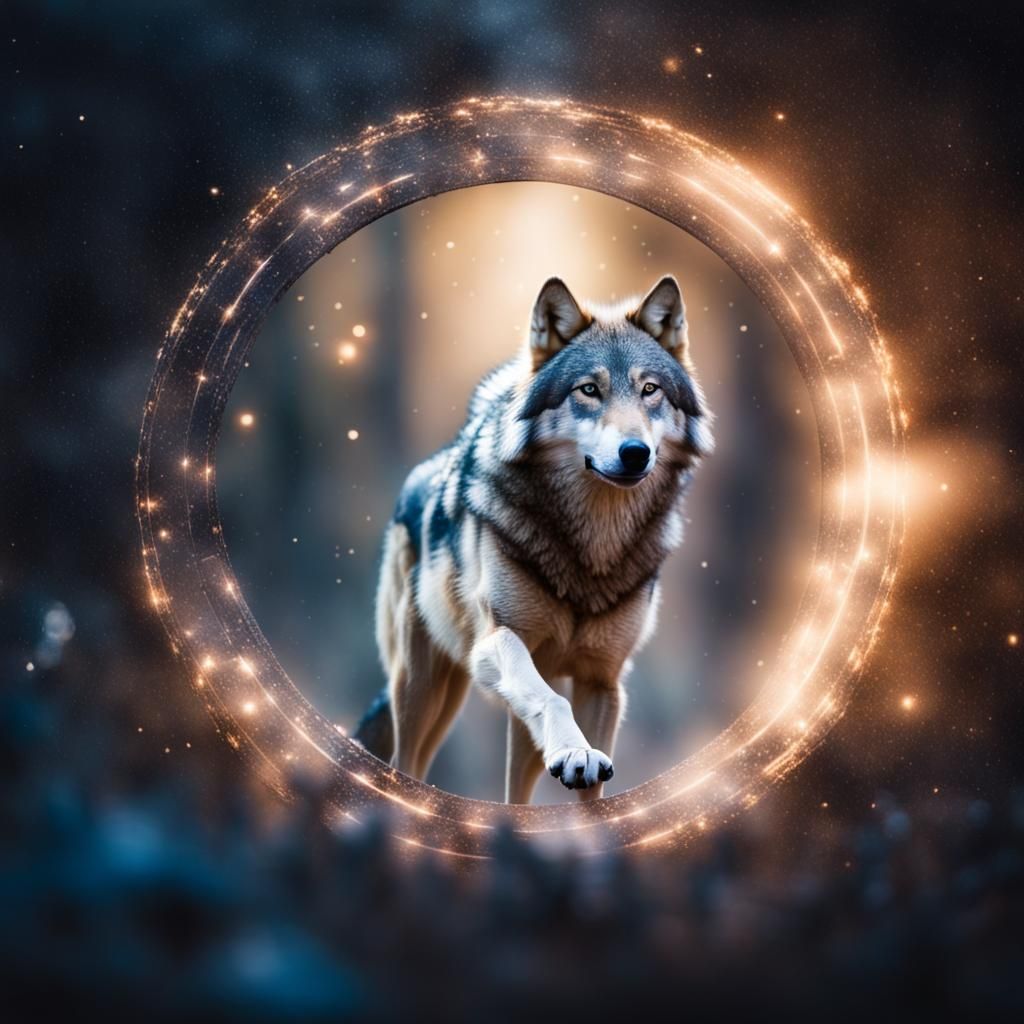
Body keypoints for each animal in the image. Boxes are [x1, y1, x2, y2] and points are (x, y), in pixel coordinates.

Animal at [354, 275, 713, 803]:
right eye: (589, 390)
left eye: (650, 390)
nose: (635, 452)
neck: (593, 546)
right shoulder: (500, 640)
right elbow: (553, 704)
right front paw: (577, 753)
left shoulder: (603, 681)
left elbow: (592, 794)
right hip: (424, 690)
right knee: (408, 762)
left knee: (514, 792)